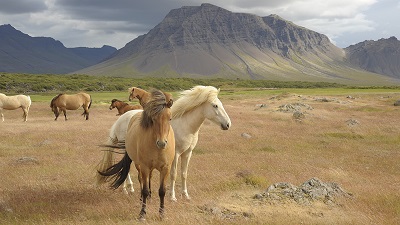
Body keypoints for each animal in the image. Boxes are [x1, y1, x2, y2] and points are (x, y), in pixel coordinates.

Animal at [96, 85, 231, 200]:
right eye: (215, 105)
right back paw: (127, 190)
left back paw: (130, 189)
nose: (228, 124)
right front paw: (172, 197)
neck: (185, 125)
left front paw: (185, 195)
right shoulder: (176, 154)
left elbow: (184, 173)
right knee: (127, 169)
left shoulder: (188, 153)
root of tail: (120, 120)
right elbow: (173, 174)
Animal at [97, 89, 174, 220]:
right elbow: (144, 189)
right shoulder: (144, 167)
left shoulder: (165, 168)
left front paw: (162, 214)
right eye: (153, 119)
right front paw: (142, 213)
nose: (162, 143)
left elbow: (162, 191)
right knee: (141, 180)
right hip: (139, 165)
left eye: (170, 118)